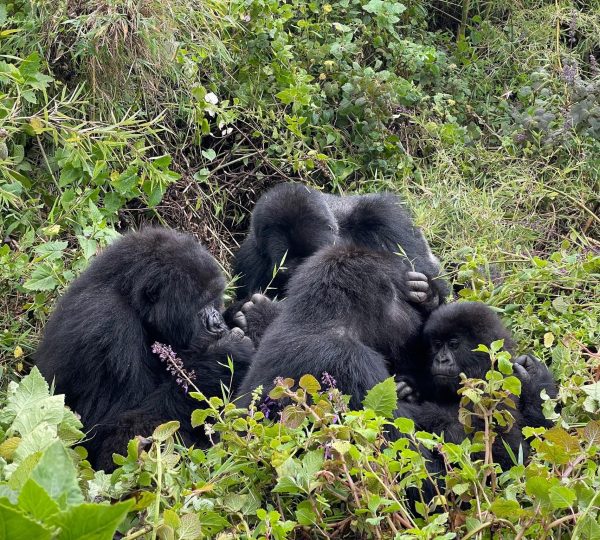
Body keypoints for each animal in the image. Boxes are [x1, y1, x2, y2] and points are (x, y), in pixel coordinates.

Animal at [34, 227, 255, 468]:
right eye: (202, 304)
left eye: (216, 298)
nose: (218, 324)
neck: (129, 298)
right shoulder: (107, 326)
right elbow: (118, 442)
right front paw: (225, 358)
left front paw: (246, 316)